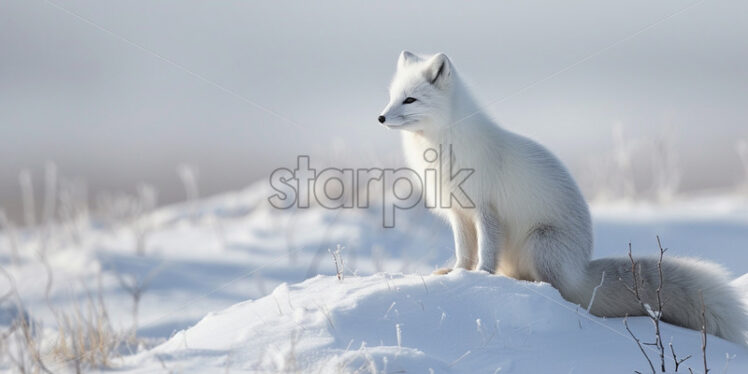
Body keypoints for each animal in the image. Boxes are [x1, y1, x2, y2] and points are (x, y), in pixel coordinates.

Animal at [376, 50, 748, 344]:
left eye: (410, 100)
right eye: (392, 97)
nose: (380, 117)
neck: (441, 144)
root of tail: (581, 272)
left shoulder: (485, 211)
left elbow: (485, 252)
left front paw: (480, 277)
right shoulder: (459, 213)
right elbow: (464, 253)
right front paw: (455, 275)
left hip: (542, 241)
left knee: (557, 291)